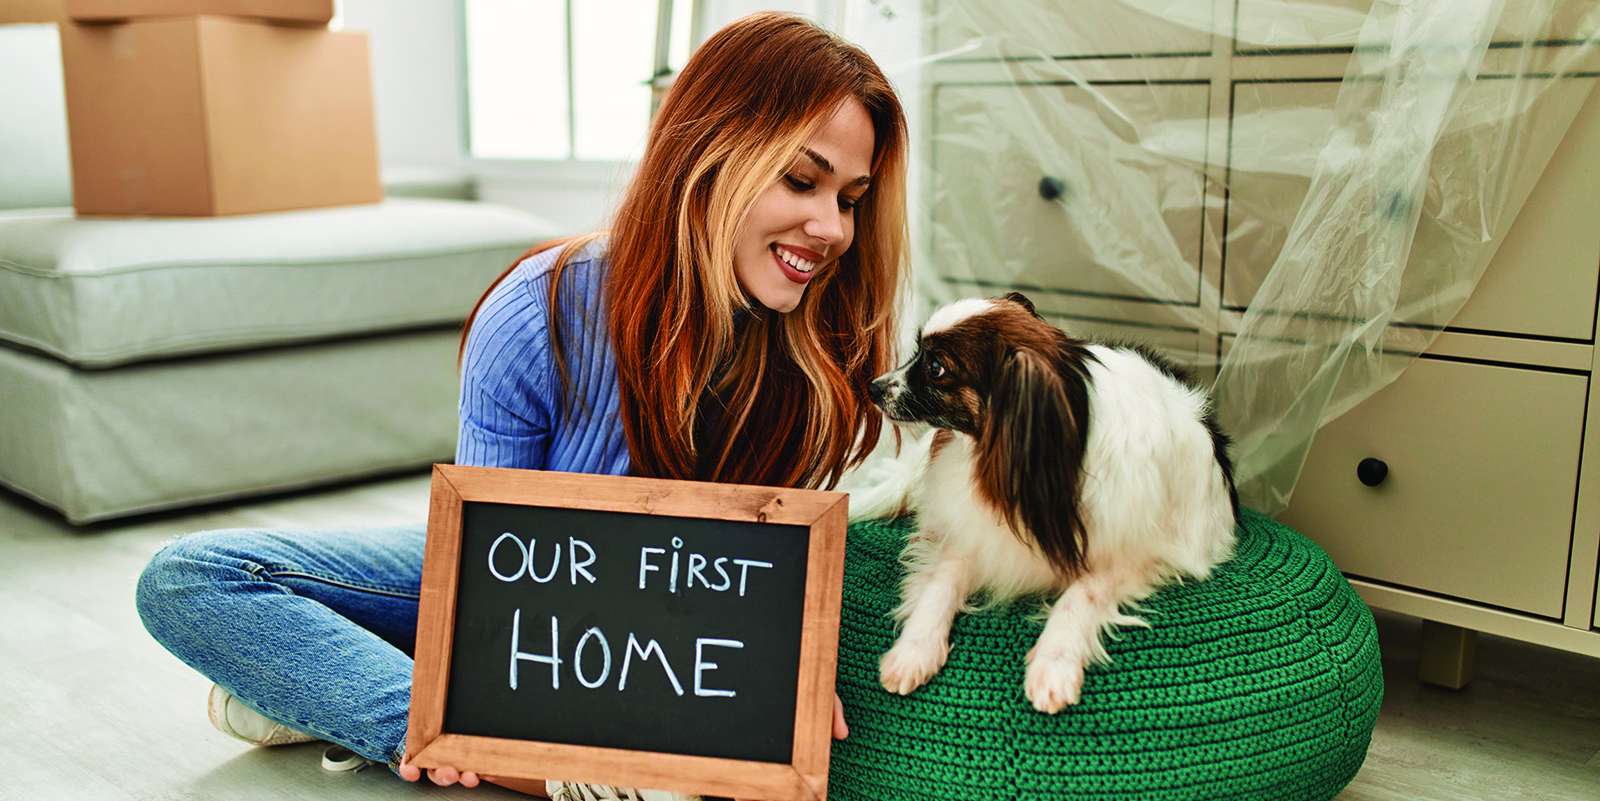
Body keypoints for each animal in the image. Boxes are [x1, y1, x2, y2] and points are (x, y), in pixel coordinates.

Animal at [852, 291, 1238, 712]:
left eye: (936, 367)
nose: (872, 387)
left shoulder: (1134, 554)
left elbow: (1082, 593)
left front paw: (1054, 665)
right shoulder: (973, 532)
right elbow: (941, 580)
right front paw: (913, 650)